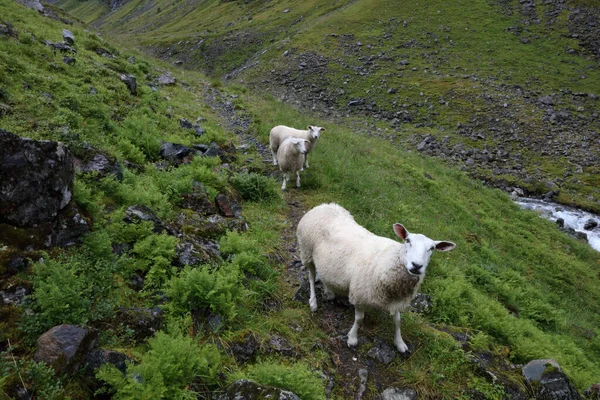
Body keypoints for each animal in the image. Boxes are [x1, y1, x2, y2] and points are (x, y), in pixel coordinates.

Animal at [298, 205, 458, 352]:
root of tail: (324, 205)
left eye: (432, 248)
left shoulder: (396, 300)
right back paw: (313, 302)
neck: (387, 261)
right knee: (311, 277)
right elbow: (359, 319)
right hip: (306, 250)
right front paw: (352, 338)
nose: (416, 265)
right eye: (407, 240)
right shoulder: (360, 294)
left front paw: (400, 343)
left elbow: (397, 321)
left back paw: (329, 292)